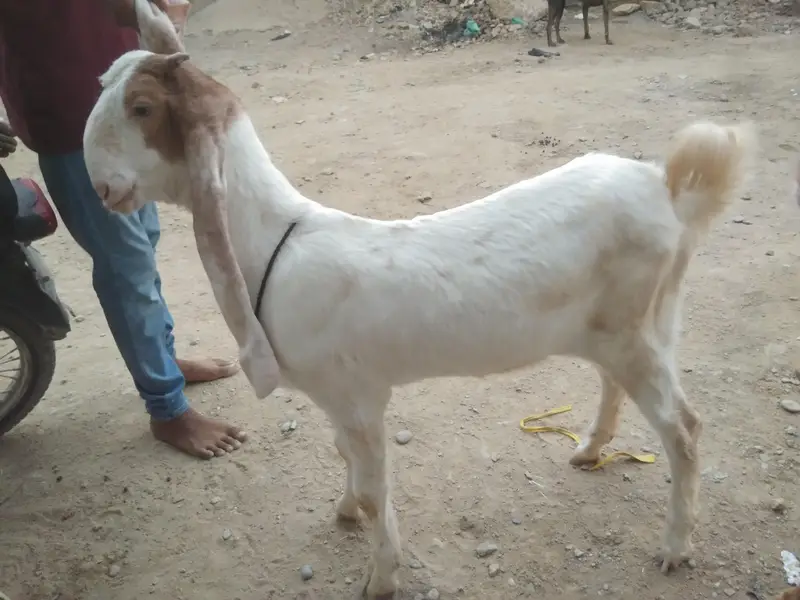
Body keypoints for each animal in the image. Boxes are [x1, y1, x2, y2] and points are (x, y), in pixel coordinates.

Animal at [82, 1, 756, 597]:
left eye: (142, 107)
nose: (101, 188)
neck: (278, 239)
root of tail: (667, 188)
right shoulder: (336, 396)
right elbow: (342, 456)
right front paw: (346, 510)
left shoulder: (359, 397)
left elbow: (376, 486)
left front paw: (380, 577)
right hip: (623, 325)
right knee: (615, 382)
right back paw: (590, 449)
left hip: (634, 327)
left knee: (684, 429)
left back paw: (675, 547)